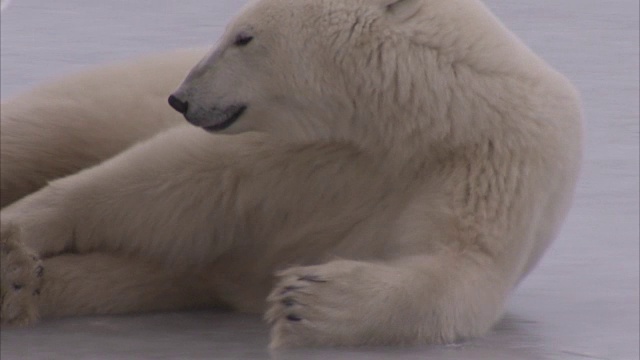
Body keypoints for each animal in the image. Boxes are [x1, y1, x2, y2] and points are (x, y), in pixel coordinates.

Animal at [0, 0, 580, 348]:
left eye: (243, 37)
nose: (180, 98)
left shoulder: (492, 165)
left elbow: (461, 269)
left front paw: (309, 299)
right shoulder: (308, 145)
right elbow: (176, 178)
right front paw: (19, 228)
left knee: (132, 276)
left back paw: (20, 286)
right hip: (114, 93)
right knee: (41, 128)